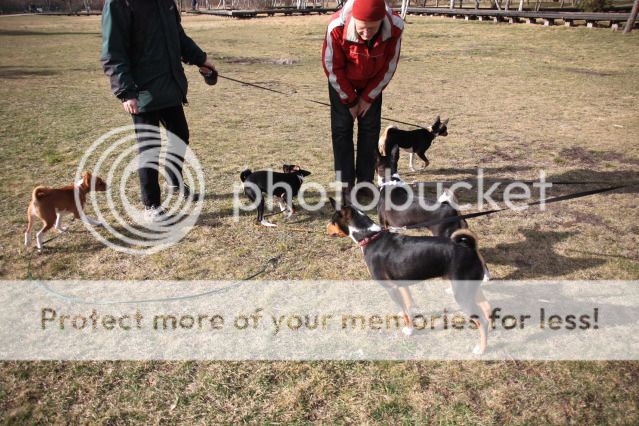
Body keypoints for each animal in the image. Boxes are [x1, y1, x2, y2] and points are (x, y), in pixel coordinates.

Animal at [326, 199, 491, 355]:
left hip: (462, 294)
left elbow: (405, 312)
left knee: (481, 321)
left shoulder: (391, 288)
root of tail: (468, 248)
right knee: (486, 309)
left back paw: (481, 349)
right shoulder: (400, 283)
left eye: (333, 220)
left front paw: (409, 330)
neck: (370, 237)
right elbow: (406, 305)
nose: (326, 228)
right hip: (471, 289)